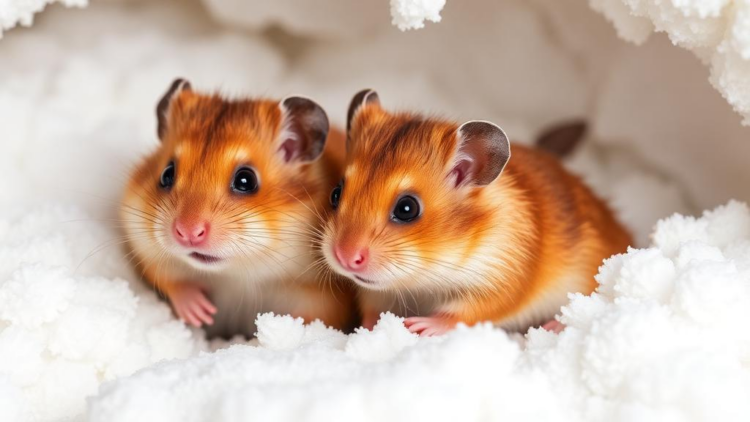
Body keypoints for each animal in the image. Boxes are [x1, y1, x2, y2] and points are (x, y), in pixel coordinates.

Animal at [121, 78, 351, 338]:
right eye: (166, 174)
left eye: (245, 180)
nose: (187, 232)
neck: (236, 274)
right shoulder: (145, 249)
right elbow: (169, 279)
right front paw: (200, 312)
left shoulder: (322, 299)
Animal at [320, 89, 631, 336]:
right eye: (336, 193)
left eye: (407, 208)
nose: (344, 257)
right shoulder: (376, 293)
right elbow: (373, 307)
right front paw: (369, 329)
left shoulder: (503, 278)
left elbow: (462, 312)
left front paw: (419, 326)